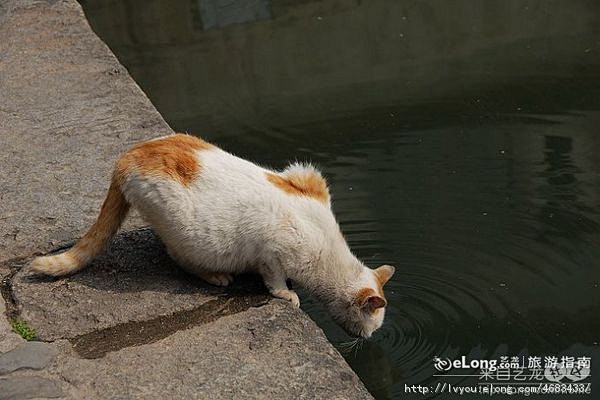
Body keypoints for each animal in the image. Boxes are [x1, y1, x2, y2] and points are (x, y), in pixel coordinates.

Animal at [30, 134, 394, 338]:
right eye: (372, 325)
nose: (368, 339)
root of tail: (126, 157)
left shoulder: (306, 175)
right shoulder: (274, 250)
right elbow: (275, 280)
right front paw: (287, 294)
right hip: (192, 234)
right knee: (179, 258)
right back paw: (216, 276)